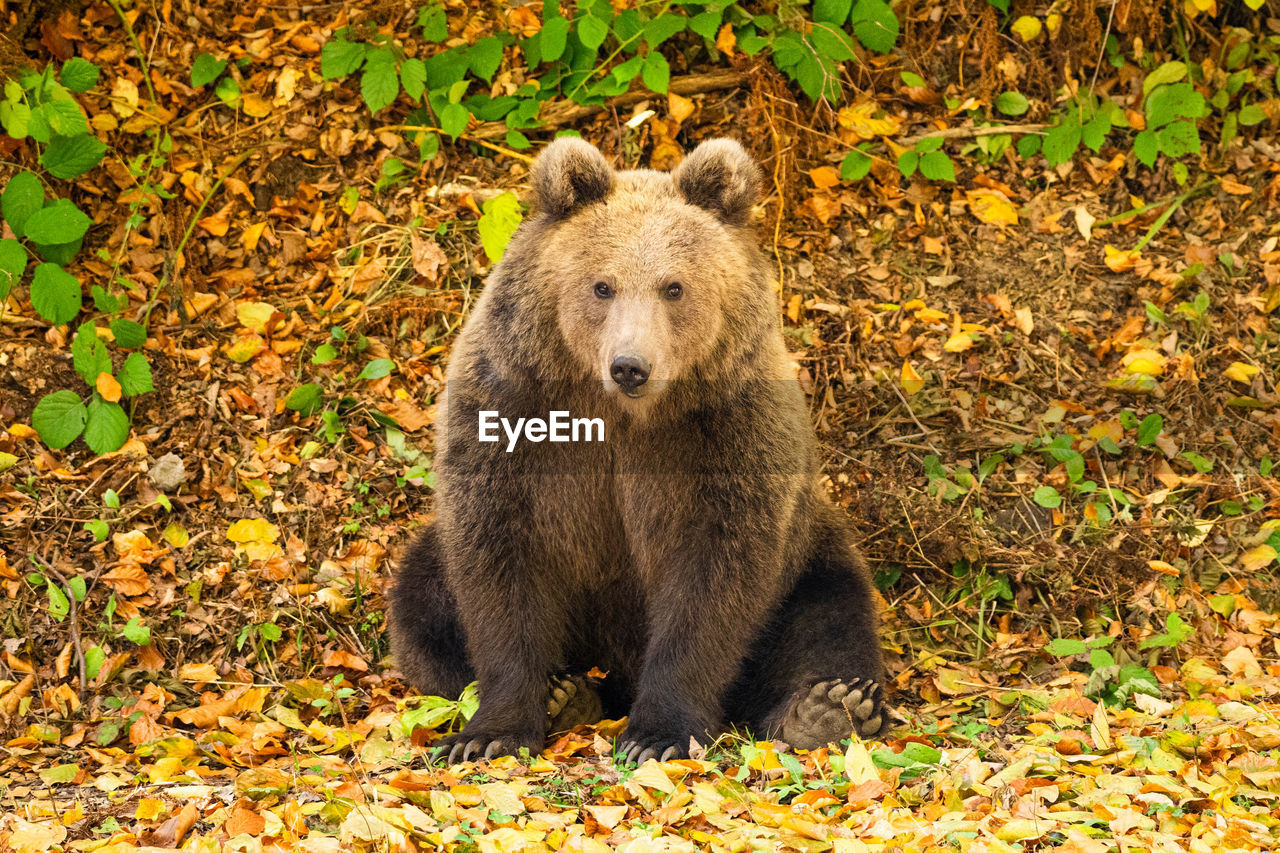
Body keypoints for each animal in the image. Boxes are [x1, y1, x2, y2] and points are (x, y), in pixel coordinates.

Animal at [386, 136, 890, 758]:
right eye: (602, 285)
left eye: (674, 287)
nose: (630, 365)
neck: (621, 416)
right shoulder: (511, 411)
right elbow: (497, 560)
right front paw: (490, 732)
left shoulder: (727, 431)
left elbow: (715, 574)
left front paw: (658, 734)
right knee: (421, 604)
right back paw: (569, 694)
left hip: (808, 552)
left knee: (830, 614)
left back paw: (826, 709)